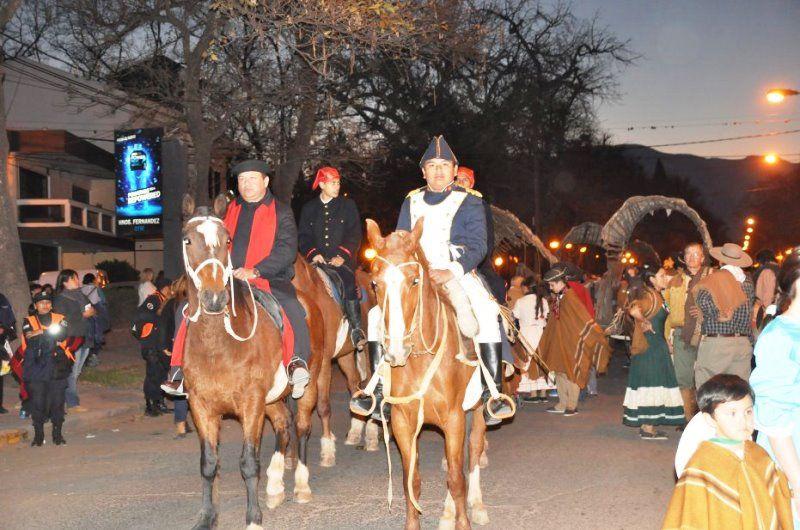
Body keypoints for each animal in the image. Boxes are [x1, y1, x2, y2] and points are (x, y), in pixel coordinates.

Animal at [181, 196, 318, 524]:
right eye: (188, 239)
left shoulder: (251, 403)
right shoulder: (201, 406)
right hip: (273, 400)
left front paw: (253, 517)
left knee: (301, 428)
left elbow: (248, 462)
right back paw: (276, 487)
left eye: (227, 240)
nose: (214, 298)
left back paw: (301, 486)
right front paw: (207, 517)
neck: (218, 344)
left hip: (313, 383)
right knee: (283, 424)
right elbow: (208, 463)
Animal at [292, 258, 380, 464]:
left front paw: (327, 450)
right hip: (345, 355)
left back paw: (371, 435)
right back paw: (355, 431)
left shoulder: (323, 362)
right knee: (354, 384)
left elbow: (323, 405)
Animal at [366, 217, 490, 524]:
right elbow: (412, 481)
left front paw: (462, 522)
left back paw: (476, 506)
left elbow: (457, 479)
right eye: (374, 283)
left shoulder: (454, 419)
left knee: (473, 451)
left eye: (414, 280)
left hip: (477, 411)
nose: (396, 351)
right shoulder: (403, 422)